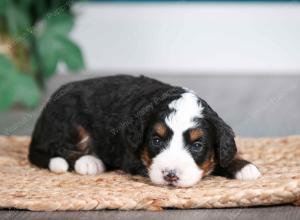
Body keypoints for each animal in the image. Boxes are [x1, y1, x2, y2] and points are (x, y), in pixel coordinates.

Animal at [29, 75, 262, 186]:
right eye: (156, 141)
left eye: (197, 145)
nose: (170, 175)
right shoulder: (131, 158)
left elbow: (223, 155)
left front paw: (243, 166)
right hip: (67, 120)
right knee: (57, 147)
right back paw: (88, 161)